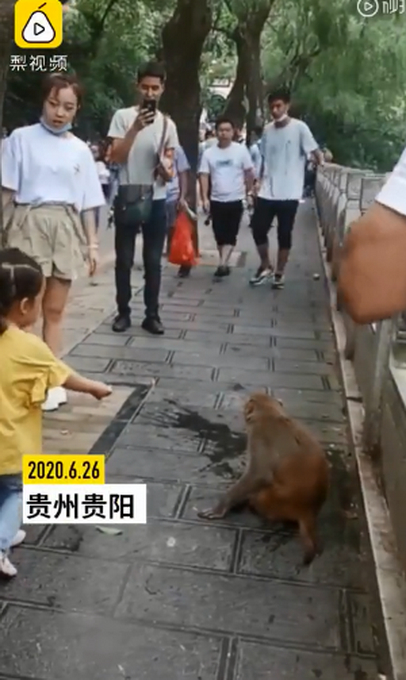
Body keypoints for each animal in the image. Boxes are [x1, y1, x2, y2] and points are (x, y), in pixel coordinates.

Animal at [197, 392, 329, 564]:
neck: (269, 412)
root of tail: (309, 512)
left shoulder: (258, 435)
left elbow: (259, 474)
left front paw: (221, 506)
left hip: (274, 500)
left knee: (262, 494)